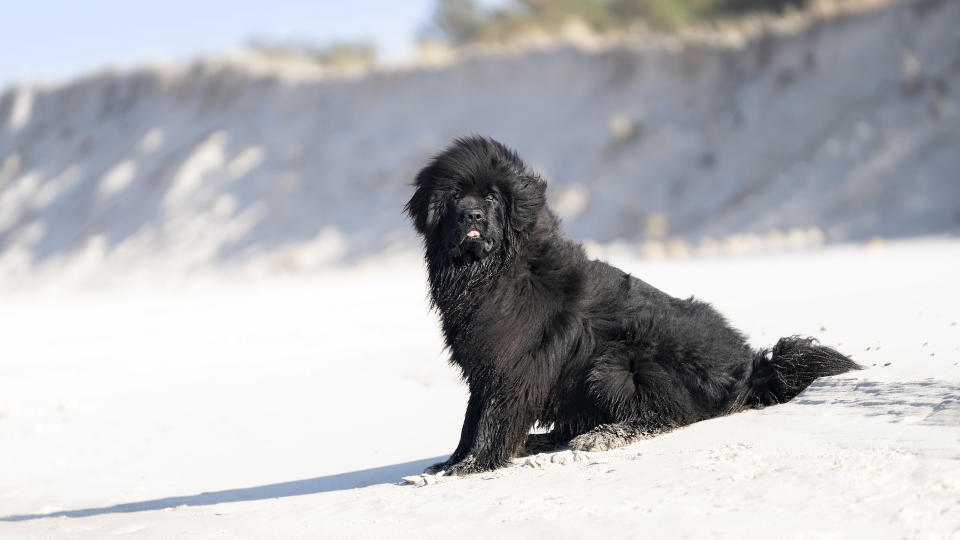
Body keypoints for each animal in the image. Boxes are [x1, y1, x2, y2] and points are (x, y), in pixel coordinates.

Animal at [402, 136, 860, 476]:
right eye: (456, 196)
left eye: (492, 197)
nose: (472, 216)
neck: (497, 273)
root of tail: (750, 367)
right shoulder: (483, 367)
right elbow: (471, 419)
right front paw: (450, 463)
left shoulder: (516, 367)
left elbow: (493, 420)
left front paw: (473, 467)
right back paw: (549, 438)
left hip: (618, 360)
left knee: (669, 415)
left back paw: (601, 436)